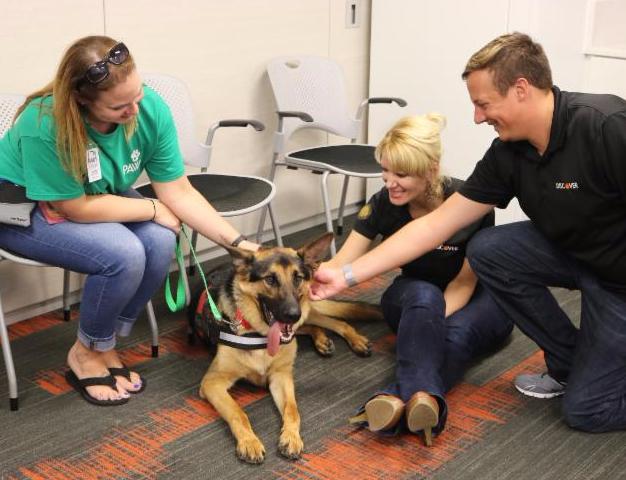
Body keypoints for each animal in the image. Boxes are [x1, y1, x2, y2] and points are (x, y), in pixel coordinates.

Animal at [197, 233, 382, 464]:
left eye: (298, 278)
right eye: (270, 279)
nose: (292, 314)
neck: (260, 336)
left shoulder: (281, 377)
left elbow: (292, 409)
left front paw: (291, 437)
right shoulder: (212, 383)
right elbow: (237, 411)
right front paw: (249, 441)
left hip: (307, 310)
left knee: (334, 321)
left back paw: (353, 340)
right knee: (311, 326)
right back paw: (322, 340)